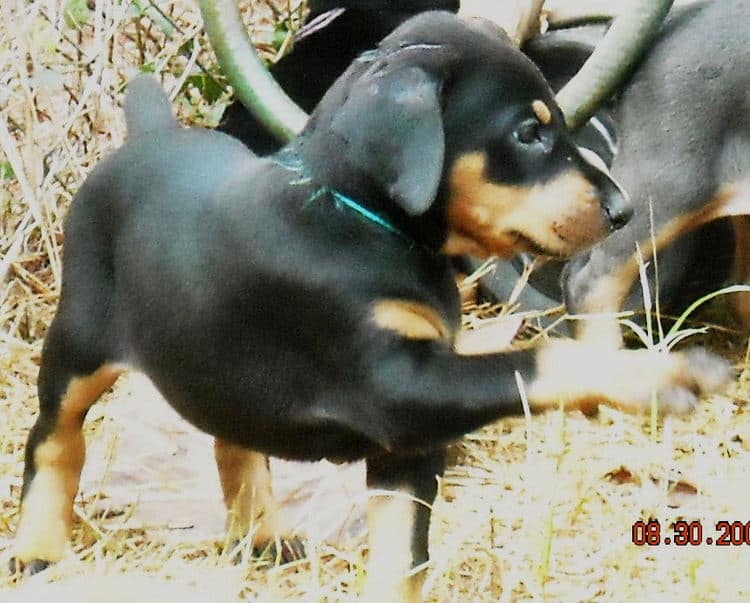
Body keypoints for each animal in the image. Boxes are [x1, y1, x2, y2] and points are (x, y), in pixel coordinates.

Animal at [8, 11, 732, 600]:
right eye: (529, 132)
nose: (622, 209)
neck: (359, 220)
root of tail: (147, 138)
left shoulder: (408, 445)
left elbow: (402, 557)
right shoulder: (394, 385)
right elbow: (540, 357)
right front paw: (659, 375)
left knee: (231, 439)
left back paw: (262, 535)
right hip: (78, 341)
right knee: (55, 438)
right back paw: (38, 548)